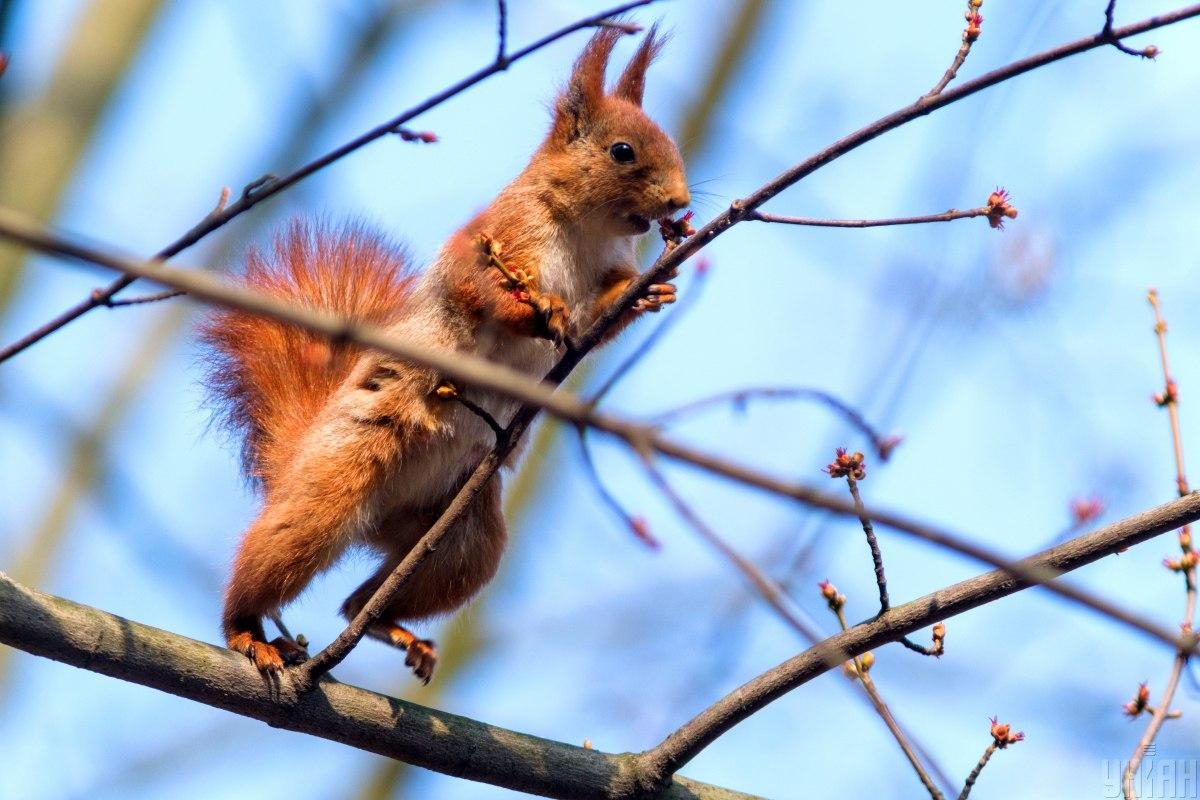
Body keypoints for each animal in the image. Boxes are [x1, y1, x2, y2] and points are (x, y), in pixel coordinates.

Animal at [200, 28, 691, 686]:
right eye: (622, 151)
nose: (680, 200)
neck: (585, 230)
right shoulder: (495, 237)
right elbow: (479, 292)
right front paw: (538, 310)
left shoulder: (607, 272)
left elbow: (598, 316)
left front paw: (648, 293)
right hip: (338, 478)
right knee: (284, 548)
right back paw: (248, 632)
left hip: (462, 537)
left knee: (362, 603)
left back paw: (393, 627)